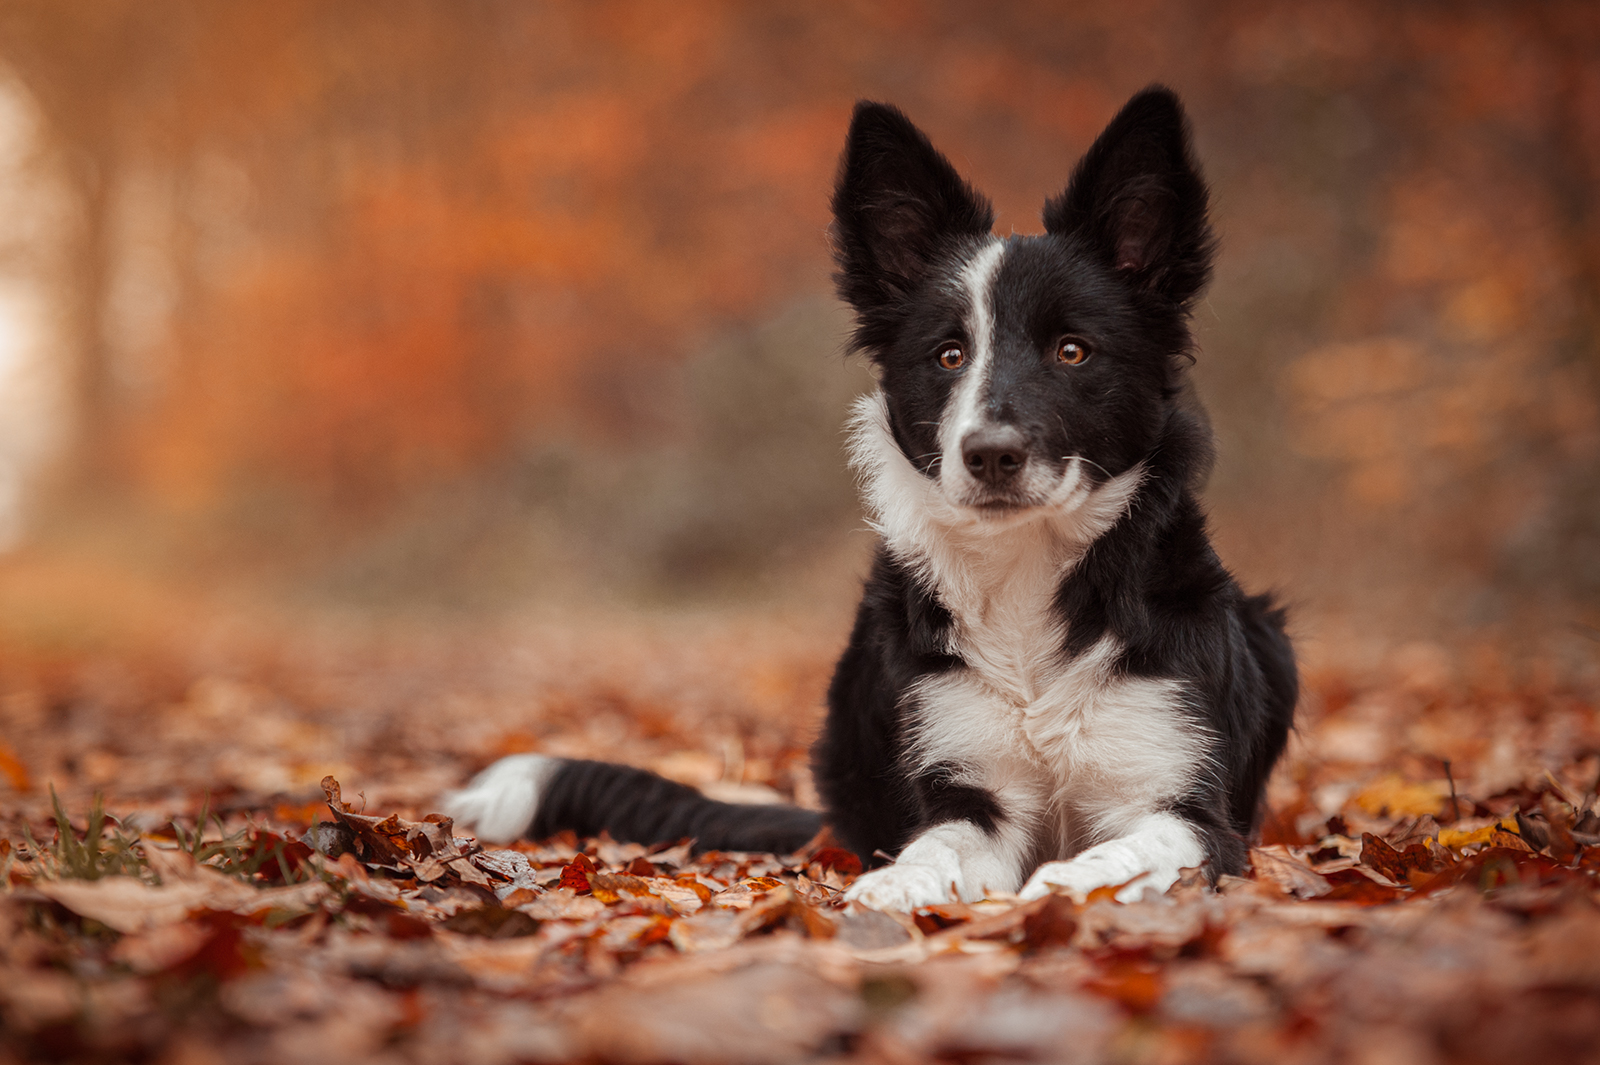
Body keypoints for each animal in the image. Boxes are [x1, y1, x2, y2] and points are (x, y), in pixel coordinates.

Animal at [444, 87, 1292, 908]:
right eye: (948, 355)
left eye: (1073, 351)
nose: (990, 454)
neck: (1023, 574)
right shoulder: (970, 793)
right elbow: (934, 847)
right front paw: (896, 887)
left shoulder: (1188, 809)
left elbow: (1122, 852)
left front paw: (1069, 886)